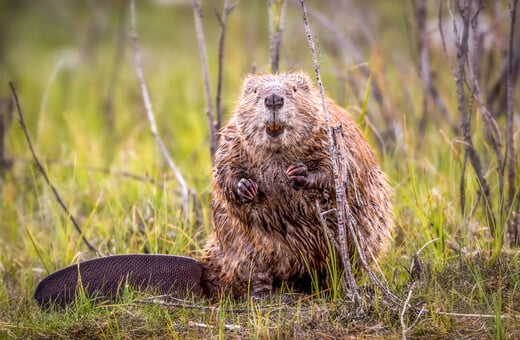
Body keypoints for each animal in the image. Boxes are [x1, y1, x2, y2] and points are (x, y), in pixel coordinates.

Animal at [34, 71, 392, 308]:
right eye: (255, 91)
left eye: (292, 88)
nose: (273, 98)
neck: (277, 152)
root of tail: (205, 271)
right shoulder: (232, 137)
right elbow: (223, 171)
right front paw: (247, 187)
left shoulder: (333, 132)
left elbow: (338, 169)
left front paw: (299, 173)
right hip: (246, 251)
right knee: (254, 276)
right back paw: (263, 295)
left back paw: (329, 287)